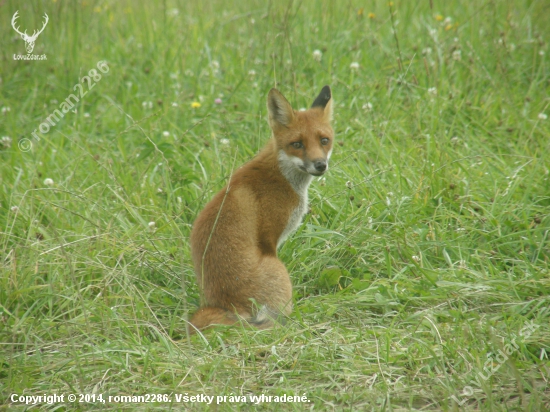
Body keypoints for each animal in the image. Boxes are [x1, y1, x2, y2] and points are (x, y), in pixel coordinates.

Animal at [190, 85, 336, 334]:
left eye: (324, 140)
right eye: (297, 144)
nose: (320, 165)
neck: (282, 177)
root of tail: (229, 306)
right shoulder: (269, 238)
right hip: (279, 272)